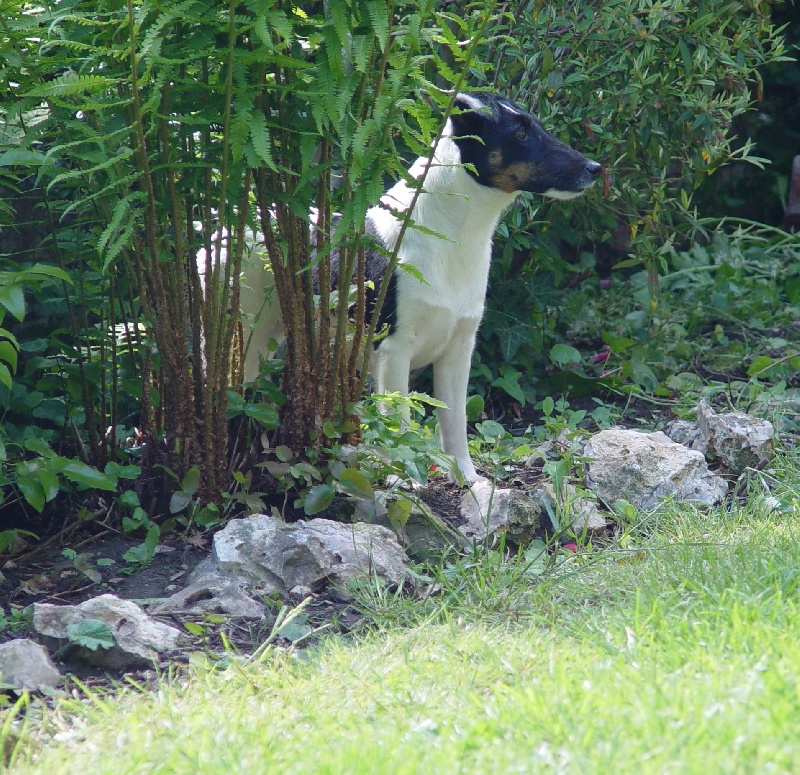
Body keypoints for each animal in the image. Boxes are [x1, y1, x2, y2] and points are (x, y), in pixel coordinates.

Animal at [240, 91, 600, 483]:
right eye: (520, 134)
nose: (595, 168)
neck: (452, 238)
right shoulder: (393, 350)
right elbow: (398, 420)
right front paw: (403, 479)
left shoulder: (458, 350)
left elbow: (455, 422)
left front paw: (468, 478)